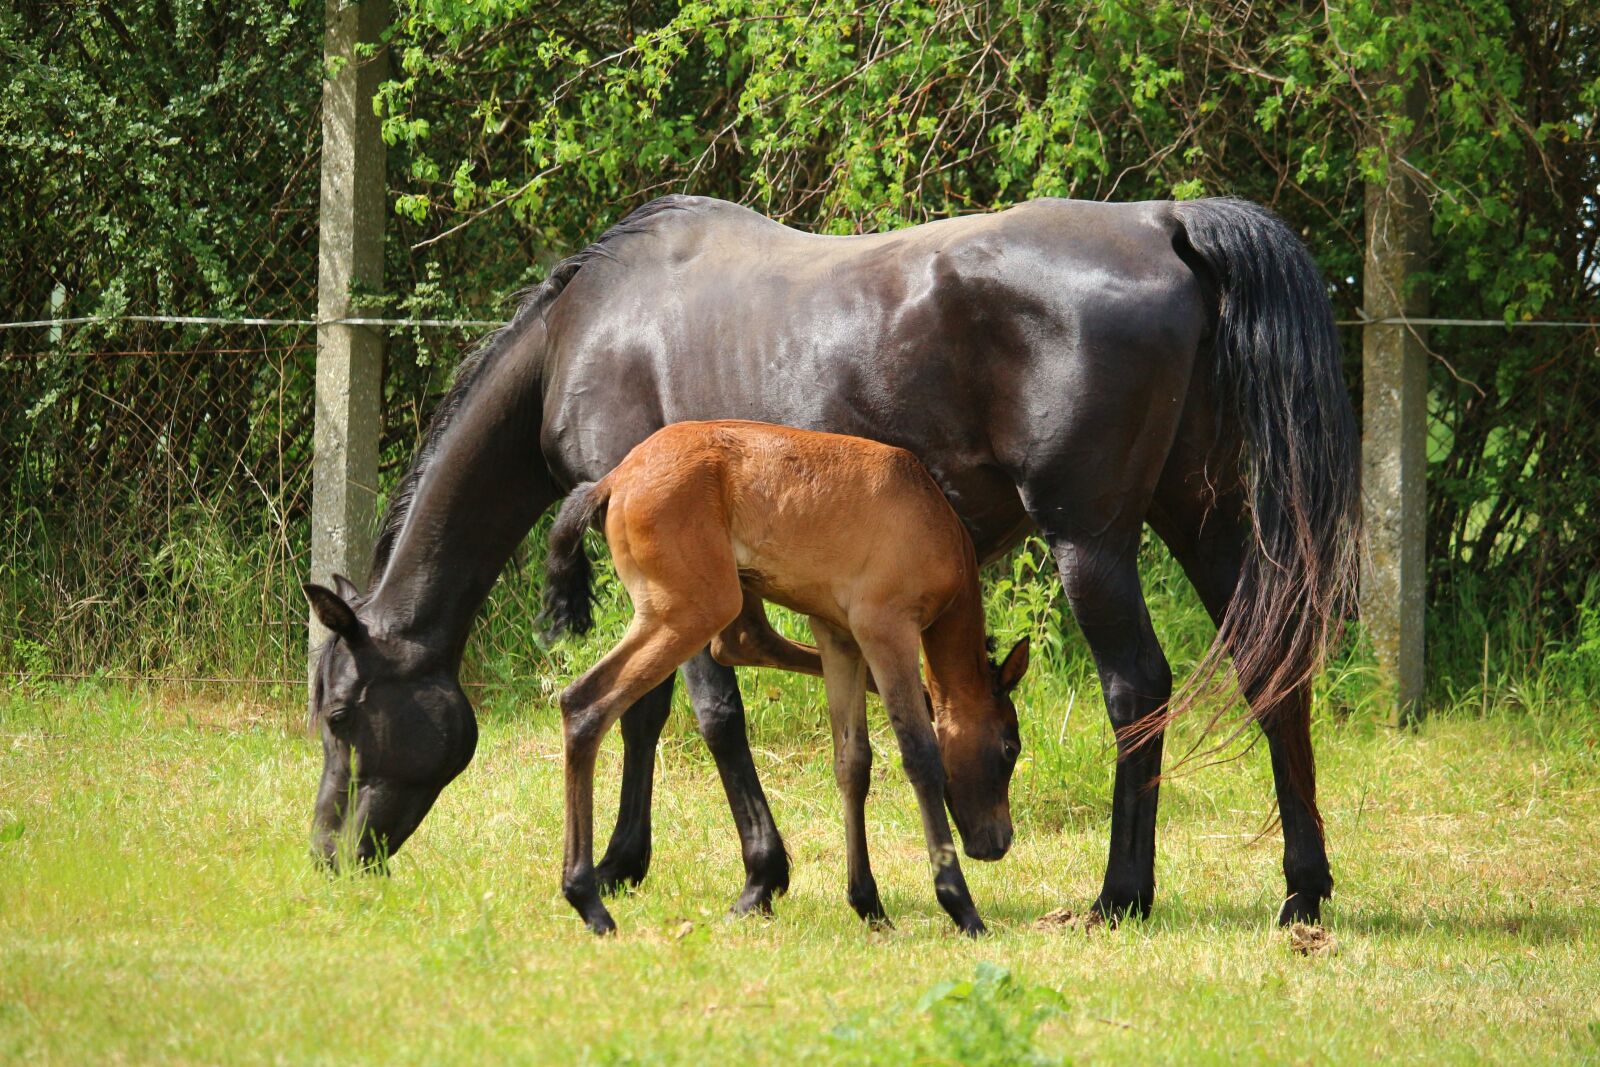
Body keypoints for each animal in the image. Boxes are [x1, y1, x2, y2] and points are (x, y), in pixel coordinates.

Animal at [535, 419, 1030, 935]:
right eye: (1010, 747)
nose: (998, 842)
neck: (931, 517)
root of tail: (615, 480)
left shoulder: (839, 638)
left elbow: (852, 762)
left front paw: (868, 904)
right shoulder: (885, 630)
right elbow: (921, 755)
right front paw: (961, 906)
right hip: (691, 612)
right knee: (585, 703)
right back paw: (587, 899)